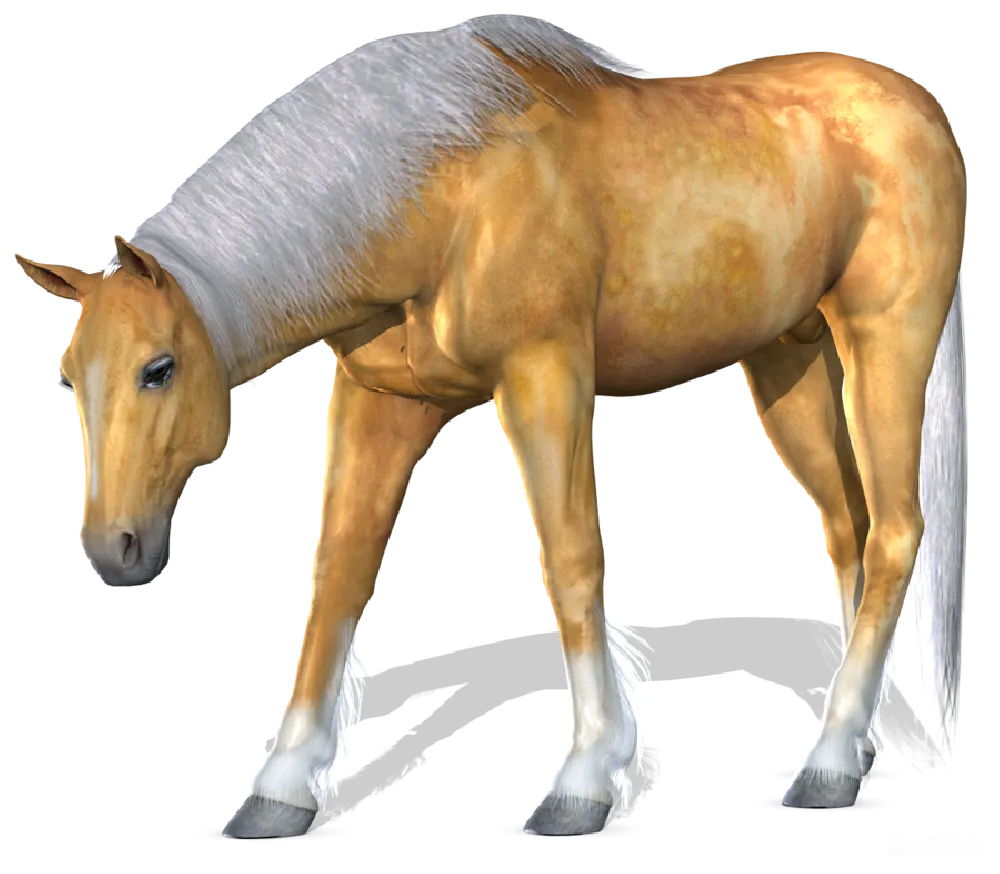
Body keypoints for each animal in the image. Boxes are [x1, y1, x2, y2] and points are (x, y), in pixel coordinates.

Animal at [14, 17, 967, 838]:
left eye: (158, 369)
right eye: (67, 380)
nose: (113, 550)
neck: (446, 190)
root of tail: (912, 103)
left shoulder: (545, 372)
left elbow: (571, 560)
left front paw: (586, 778)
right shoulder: (380, 402)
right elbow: (338, 576)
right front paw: (281, 785)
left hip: (884, 348)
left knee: (894, 532)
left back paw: (829, 765)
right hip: (788, 367)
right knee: (849, 528)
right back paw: (852, 749)